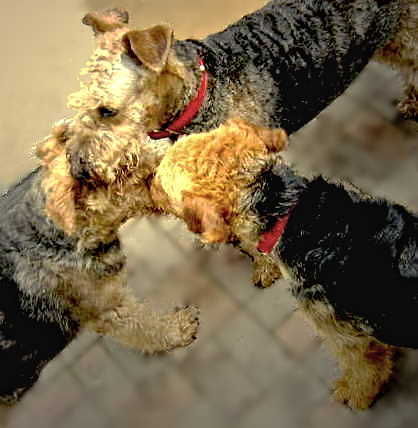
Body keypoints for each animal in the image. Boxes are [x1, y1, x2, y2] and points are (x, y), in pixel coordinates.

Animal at [149, 118, 418, 412]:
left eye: (163, 182)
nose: (148, 187)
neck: (294, 219)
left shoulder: (345, 337)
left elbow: (364, 369)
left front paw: (355, 394)